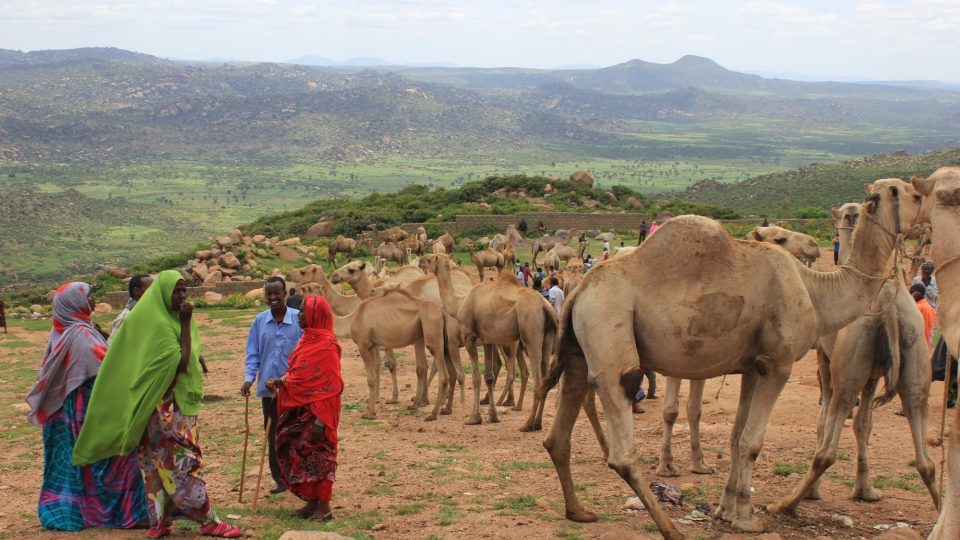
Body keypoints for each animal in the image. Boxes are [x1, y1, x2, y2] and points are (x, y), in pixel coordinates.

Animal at [456, 270, 560, 430]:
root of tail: (545, 306)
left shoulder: (469, 336)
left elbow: (476, 377)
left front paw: (474, 418)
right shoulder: (487, 339)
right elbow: (489, 376)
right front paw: (492, 416)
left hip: (531, 329)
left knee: (537, 380)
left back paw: (528, 424)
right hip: (548, 336)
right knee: (544, 375)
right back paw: (537, 423)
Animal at [540, 179, 924, 536]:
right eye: (915, 195)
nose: (815, 244)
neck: (815, 290)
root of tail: (580, 289)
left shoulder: (754, 367)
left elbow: (738, 437)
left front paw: (728, 511)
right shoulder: (779, 363)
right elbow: (753, 442)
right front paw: (748, 520)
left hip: (577, 351)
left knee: (558, 435)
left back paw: (579, 512)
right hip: (609, 325)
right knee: (621, 437)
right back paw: (672, 528)